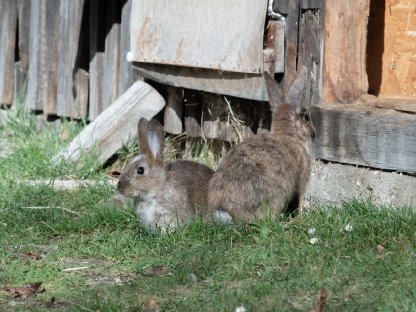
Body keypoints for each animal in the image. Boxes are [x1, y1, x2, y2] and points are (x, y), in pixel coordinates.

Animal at [208, 68, 316, 223]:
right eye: (306, 118)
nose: (314, 134)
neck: (289, 135)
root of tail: (226, 211)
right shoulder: (302, 178)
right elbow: (300, 197)